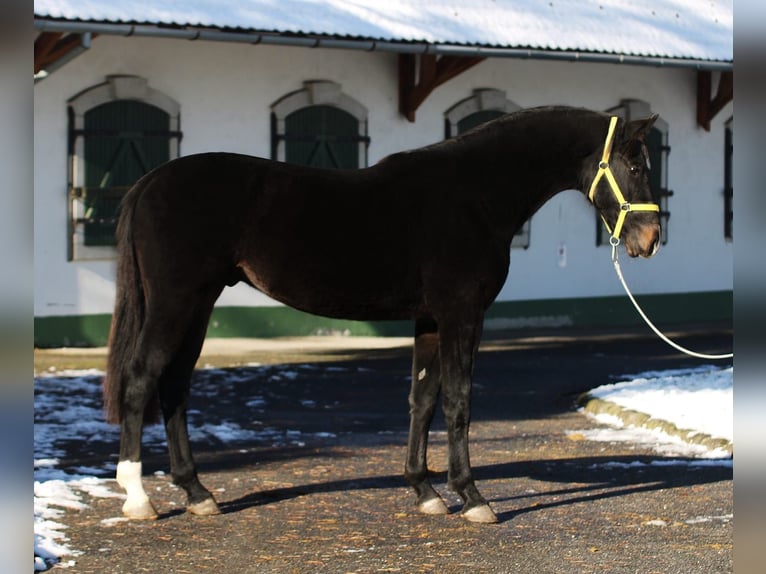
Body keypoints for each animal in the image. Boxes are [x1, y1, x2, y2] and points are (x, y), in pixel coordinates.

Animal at [105, 107, 664, 528]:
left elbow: (422, 399)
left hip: (197, 305)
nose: (651, 239)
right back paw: (138, 497)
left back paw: (197, 493)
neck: (474, 194)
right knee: (141, 378)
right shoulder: (462, 314)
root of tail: (149, 181)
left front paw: (425, 491)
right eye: (637, 167)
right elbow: (458, 401)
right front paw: (472, 497)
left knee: (175, 386)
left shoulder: (431, 319)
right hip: (176, 303)